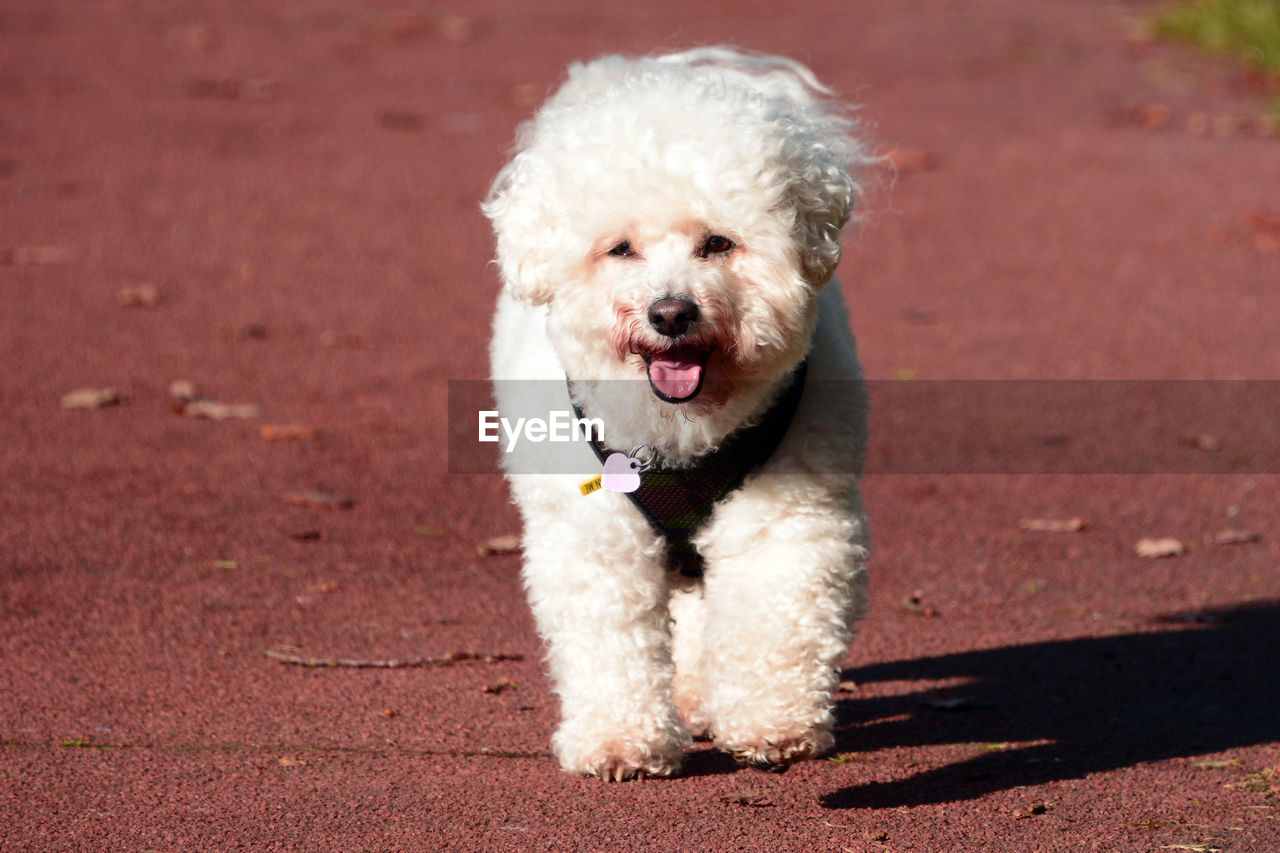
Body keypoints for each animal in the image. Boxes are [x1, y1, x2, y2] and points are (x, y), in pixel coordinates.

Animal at [483, 46, 875, 778]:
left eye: (718, 243)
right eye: (620, 249)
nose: (670, 313)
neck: (680, 429)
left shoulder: (788, 517)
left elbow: (777, 616)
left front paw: (772, 722)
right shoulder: (593, 535)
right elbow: (609, 638)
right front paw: (620, 738)